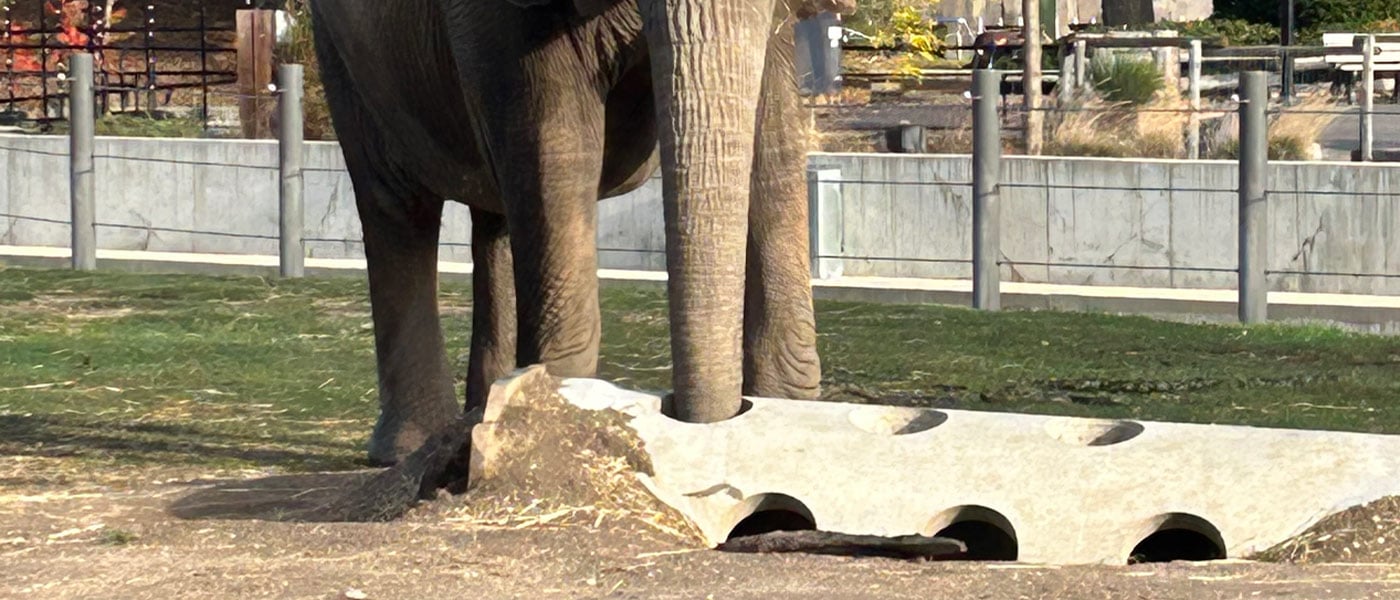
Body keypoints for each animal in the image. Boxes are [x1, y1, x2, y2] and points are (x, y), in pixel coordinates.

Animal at [310, 0, 856, 466]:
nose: (703, 419)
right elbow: (557, 144)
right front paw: (556, 421)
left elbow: (774, 140)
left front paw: (785, 411)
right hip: (341, 56)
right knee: (398, 207)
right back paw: (408, 448)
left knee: (495, 215)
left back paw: (477, 416)